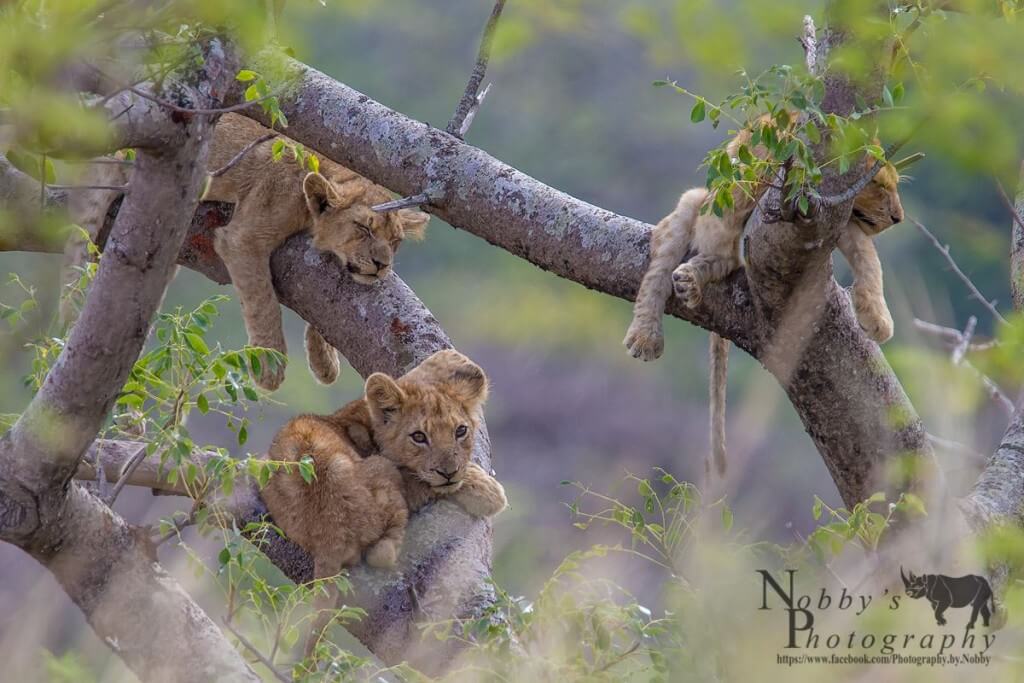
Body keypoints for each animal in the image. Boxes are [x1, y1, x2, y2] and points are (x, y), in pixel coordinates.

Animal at [65, 113, 430, 391]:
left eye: (395, 240)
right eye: (364, 228)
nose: (382, 265)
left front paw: (324, 361)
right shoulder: (243, 237)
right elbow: (262, 301)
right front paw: (270, 367)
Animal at [260, 349, 507, 657]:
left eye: (460, 431)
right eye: (419, 437)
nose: (448, 471)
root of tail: (329, 532)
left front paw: (449, 359)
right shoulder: (405, 475)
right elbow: (427, 481)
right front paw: (488, 491)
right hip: (382, 472)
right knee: (382, 553)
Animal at [623, 119, 906, 477]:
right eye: (880, 185)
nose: (898, 218)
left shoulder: (828, 218)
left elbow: (868, 256)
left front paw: (877, 318)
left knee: (724, 261)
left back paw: (692, 281)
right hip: (693, 201)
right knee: (662, 267)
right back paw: (646, 334)